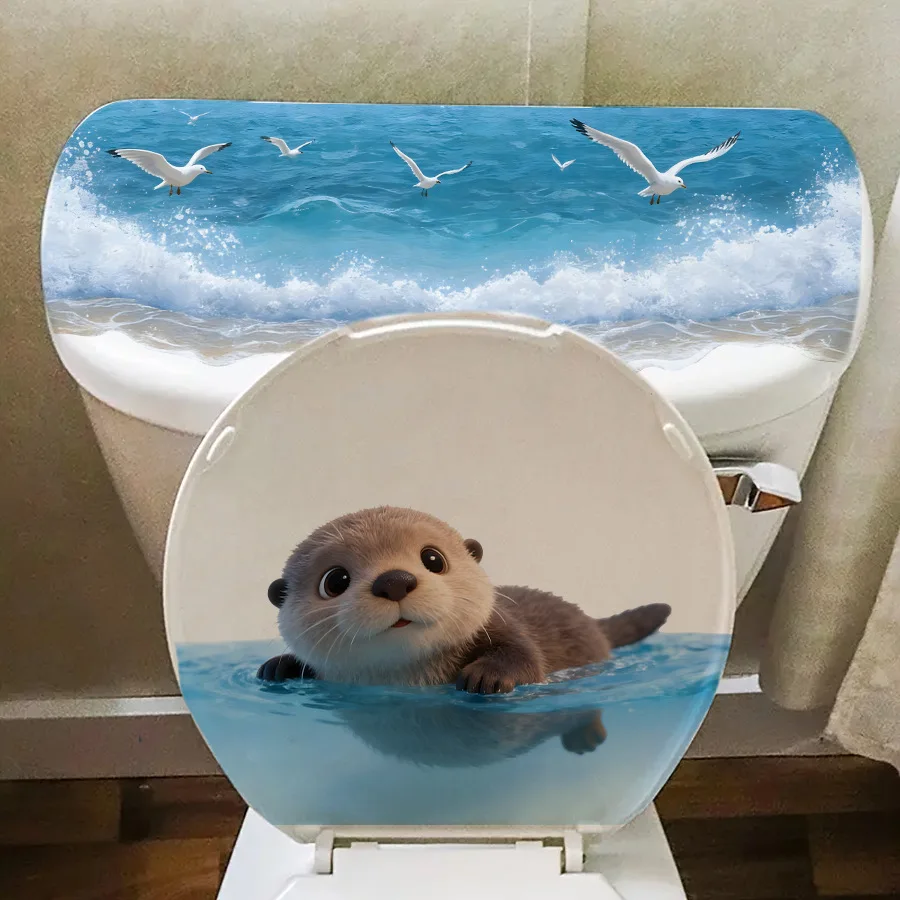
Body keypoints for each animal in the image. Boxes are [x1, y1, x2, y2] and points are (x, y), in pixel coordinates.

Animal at [258, 506, 670, 695]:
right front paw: (280, 666)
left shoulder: (502, 626)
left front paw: (489, 675)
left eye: (433, 559)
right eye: (335, 580)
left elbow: (526, 658)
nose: (394, 581)